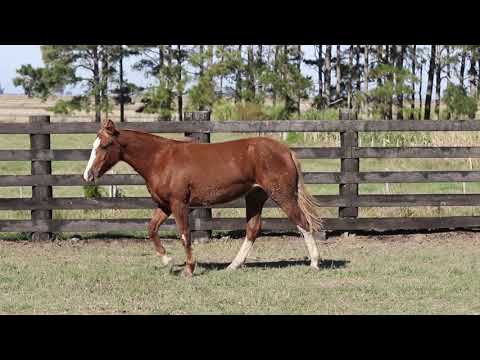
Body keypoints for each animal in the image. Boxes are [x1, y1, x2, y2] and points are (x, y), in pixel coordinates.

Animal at [83, 119, 322, 278]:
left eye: (104, 145)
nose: (88, 175)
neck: (160, 159)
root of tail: (286, 151)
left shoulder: (179, 204)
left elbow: (184, 235)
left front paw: (189, 269)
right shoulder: (164, 205)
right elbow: (151, 229)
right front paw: (169, 262)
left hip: (283, 195)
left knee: (303, 223)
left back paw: (315, 263)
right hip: (255, 197)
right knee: (253, 229)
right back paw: (233, 266)